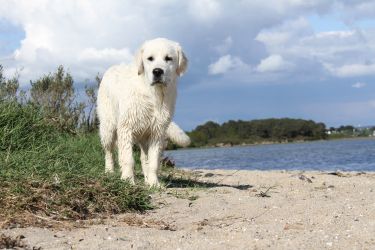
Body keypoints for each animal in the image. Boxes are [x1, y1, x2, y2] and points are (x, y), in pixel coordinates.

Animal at [97, 37, 189, 186]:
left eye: (168, 58)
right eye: (150, 58)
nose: (157, 71)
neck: (153, 94)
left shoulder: (157, 132)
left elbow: (153, 162)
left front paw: (154, 183)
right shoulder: (126, 127)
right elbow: (128, 159)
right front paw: (128, 181)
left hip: (144, 135)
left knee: (143, 158)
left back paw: (147, 180)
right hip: (108, 127)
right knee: (109, 152)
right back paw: (109, 172)